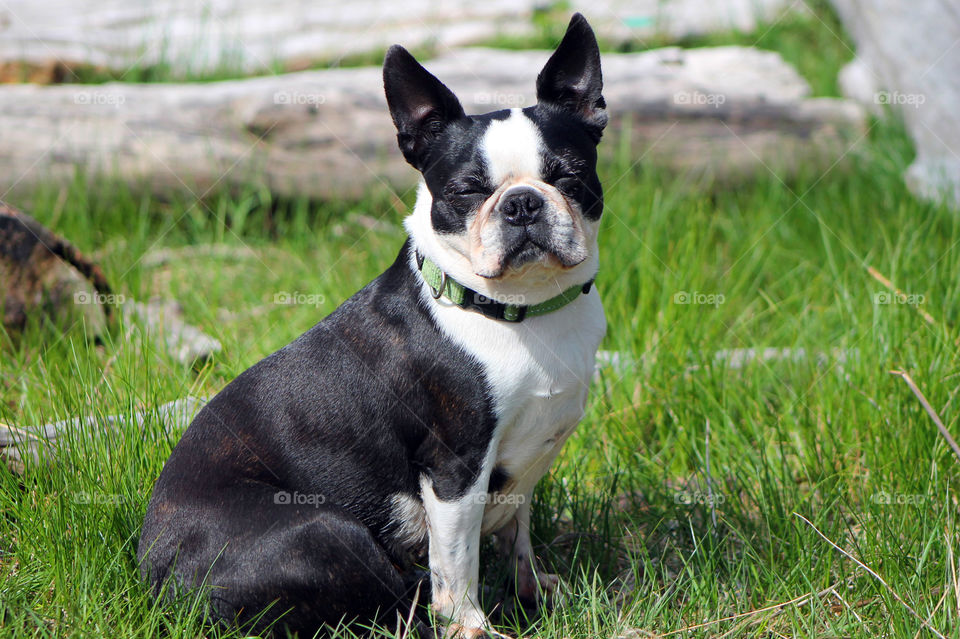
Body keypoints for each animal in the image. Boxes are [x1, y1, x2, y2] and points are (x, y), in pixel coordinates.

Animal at [139, 12, 608, 636]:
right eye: (467, 191)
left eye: (571, 177)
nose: (523, 203)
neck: (522, 310)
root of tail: (157, 581)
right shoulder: (456, 469)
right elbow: (457, 566)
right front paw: (473, 627)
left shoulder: (524, 465)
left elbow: (518, 531)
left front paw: (533, 591)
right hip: (326, 531)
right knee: (397, 600)